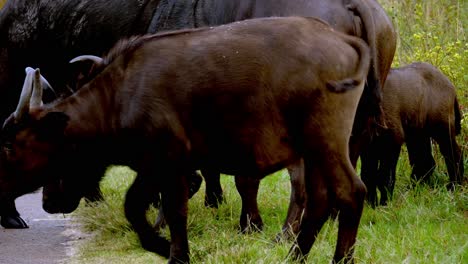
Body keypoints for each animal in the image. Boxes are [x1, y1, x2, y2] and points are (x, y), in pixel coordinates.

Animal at [1, 17, 372, 262]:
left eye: (10, 144)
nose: (48, 203)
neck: (120, 95)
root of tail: (342, 40)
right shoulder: (166, 169)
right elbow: (166, 209)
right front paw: (171, 249)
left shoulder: (163, 162)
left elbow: (148, 208)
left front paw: (167, 248)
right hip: (312, 151)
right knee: (320, 200)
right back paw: (294, 256)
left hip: (326, 141)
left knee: (350, 193)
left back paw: (341, 259)